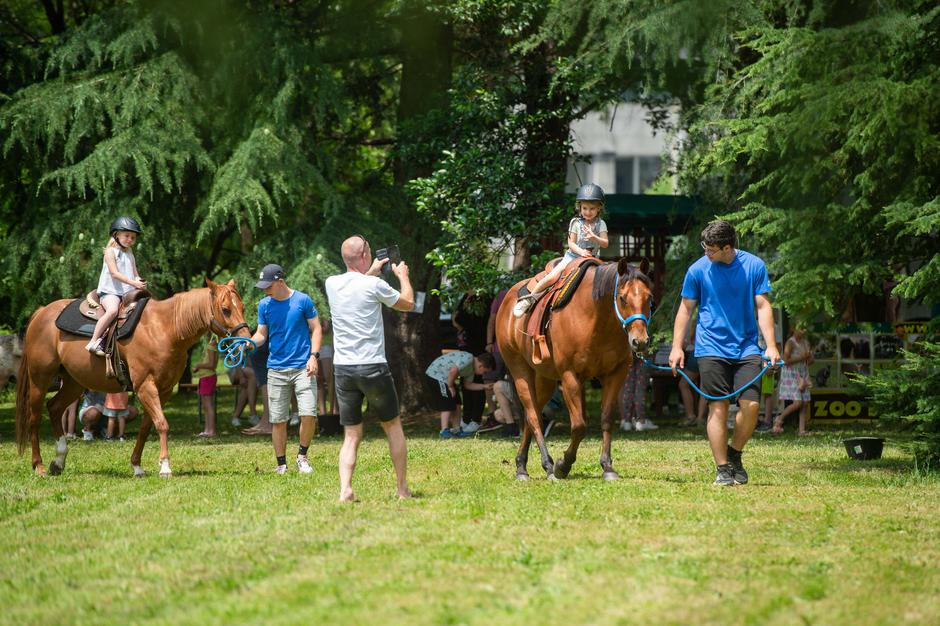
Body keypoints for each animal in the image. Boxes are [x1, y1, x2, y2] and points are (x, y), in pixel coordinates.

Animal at [15, 280, 250, 476]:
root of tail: (42, 312)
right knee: (34, 418)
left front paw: (137, 466)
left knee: (54, 408)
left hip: (74, 383)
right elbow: (162, 424)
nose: (246, 342)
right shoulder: (145, 386)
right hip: (39, 379)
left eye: (242, 308)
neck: (166, 329)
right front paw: (165, 466)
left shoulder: (163, 390)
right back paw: (39, 466)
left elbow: (147, 426)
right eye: (226, 310)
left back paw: (58, 461)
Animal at [496, 256, 648, 480]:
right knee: (533, 416)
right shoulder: (570, 377)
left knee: (533, 414)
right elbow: (579, 426)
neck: (596, 319)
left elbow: (607, 419)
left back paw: (522, 465)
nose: (640, 341)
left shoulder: (615, 375)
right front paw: (563, 465)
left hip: (545, 378)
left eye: (649, 298)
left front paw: (607, 467)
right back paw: (546, 466)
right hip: (520, 370)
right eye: (622, 298)